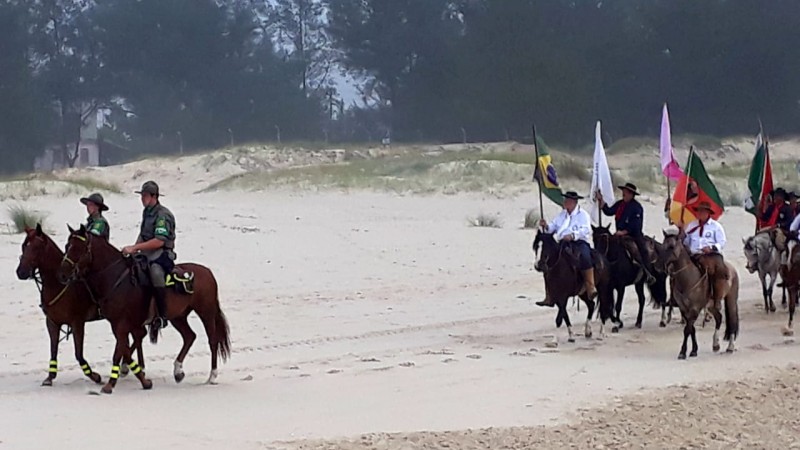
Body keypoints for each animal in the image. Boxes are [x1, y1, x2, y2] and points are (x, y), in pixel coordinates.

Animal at [15, 225, 146, 386]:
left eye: (36, 248)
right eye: (23, 246)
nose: (20, 272)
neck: (59, 285)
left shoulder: (77, 323)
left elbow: (78, 354)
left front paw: (94, 376)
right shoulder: (52, 323)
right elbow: (53, 349)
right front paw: (50, 376)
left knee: (138, 336)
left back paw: (128, 366)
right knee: (139, 335)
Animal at [59, 225, 231, 394]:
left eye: (80, 249)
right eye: (67, 246)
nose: (63, 273)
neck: (116, 279)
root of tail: (207, 272)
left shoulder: (121, 324)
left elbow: (119, 351)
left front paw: (111, 384)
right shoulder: (119, 324)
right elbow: (125, 348)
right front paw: (131, 372)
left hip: (206, 312)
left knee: (212, 340)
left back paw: (212, 375)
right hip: (178, 317)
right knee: (189, 336)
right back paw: (178, 371)